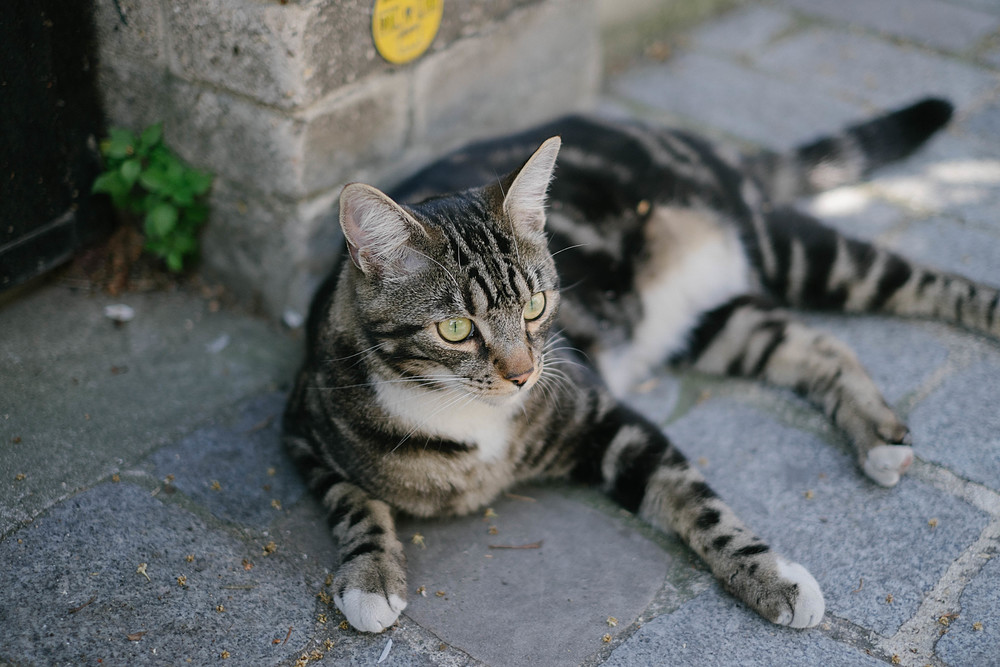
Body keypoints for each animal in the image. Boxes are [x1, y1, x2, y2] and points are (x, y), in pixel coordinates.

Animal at [280, 96, 992, 636]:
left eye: (536, 304)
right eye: (455, 328)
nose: (522, 374)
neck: (462, 422)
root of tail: (690, 140)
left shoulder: (607, 418)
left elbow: (698, 504)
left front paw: (771, 577)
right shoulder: (301, 427)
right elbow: (351, 501)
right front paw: (371, 577)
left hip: (788, 248)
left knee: (919, 280)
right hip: (714, 323)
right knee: (820, 346)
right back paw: (879, 435)